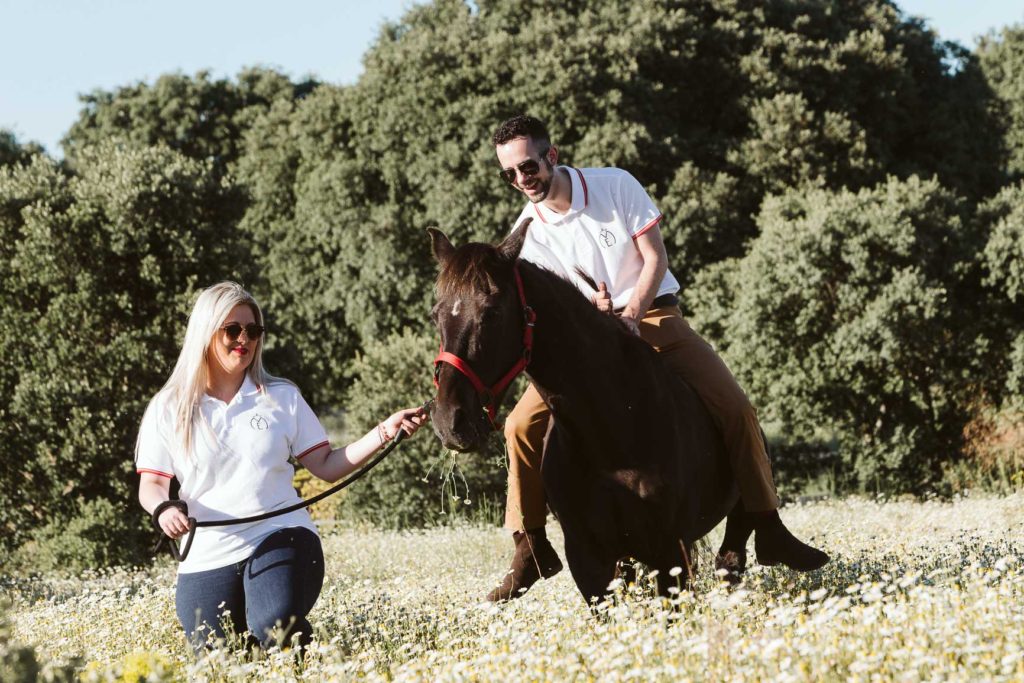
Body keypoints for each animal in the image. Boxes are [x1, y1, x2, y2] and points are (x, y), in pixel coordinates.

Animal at [428, 220, 741, 602]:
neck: (611, 424)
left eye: (492, 313)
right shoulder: (588, 560)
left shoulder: (668, 551)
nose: (449, 420)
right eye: (436, 315)